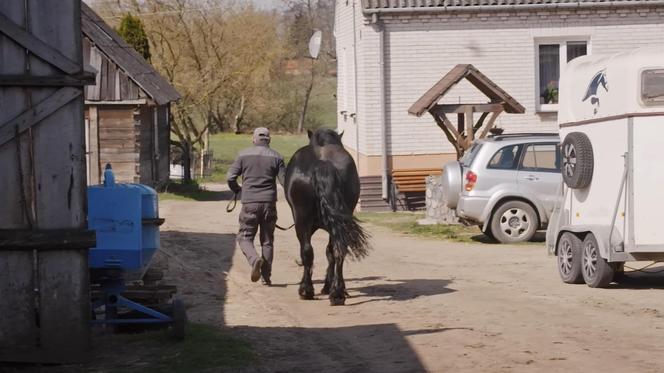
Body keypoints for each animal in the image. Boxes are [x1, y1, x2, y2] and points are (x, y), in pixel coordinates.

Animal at [284, 128, 370, 306]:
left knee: (307, 251)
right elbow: (330, 252)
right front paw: (330, 286)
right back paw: (337, 294)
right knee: (338, 250)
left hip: (301, 221)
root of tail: (323, 164)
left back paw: (307, 290)